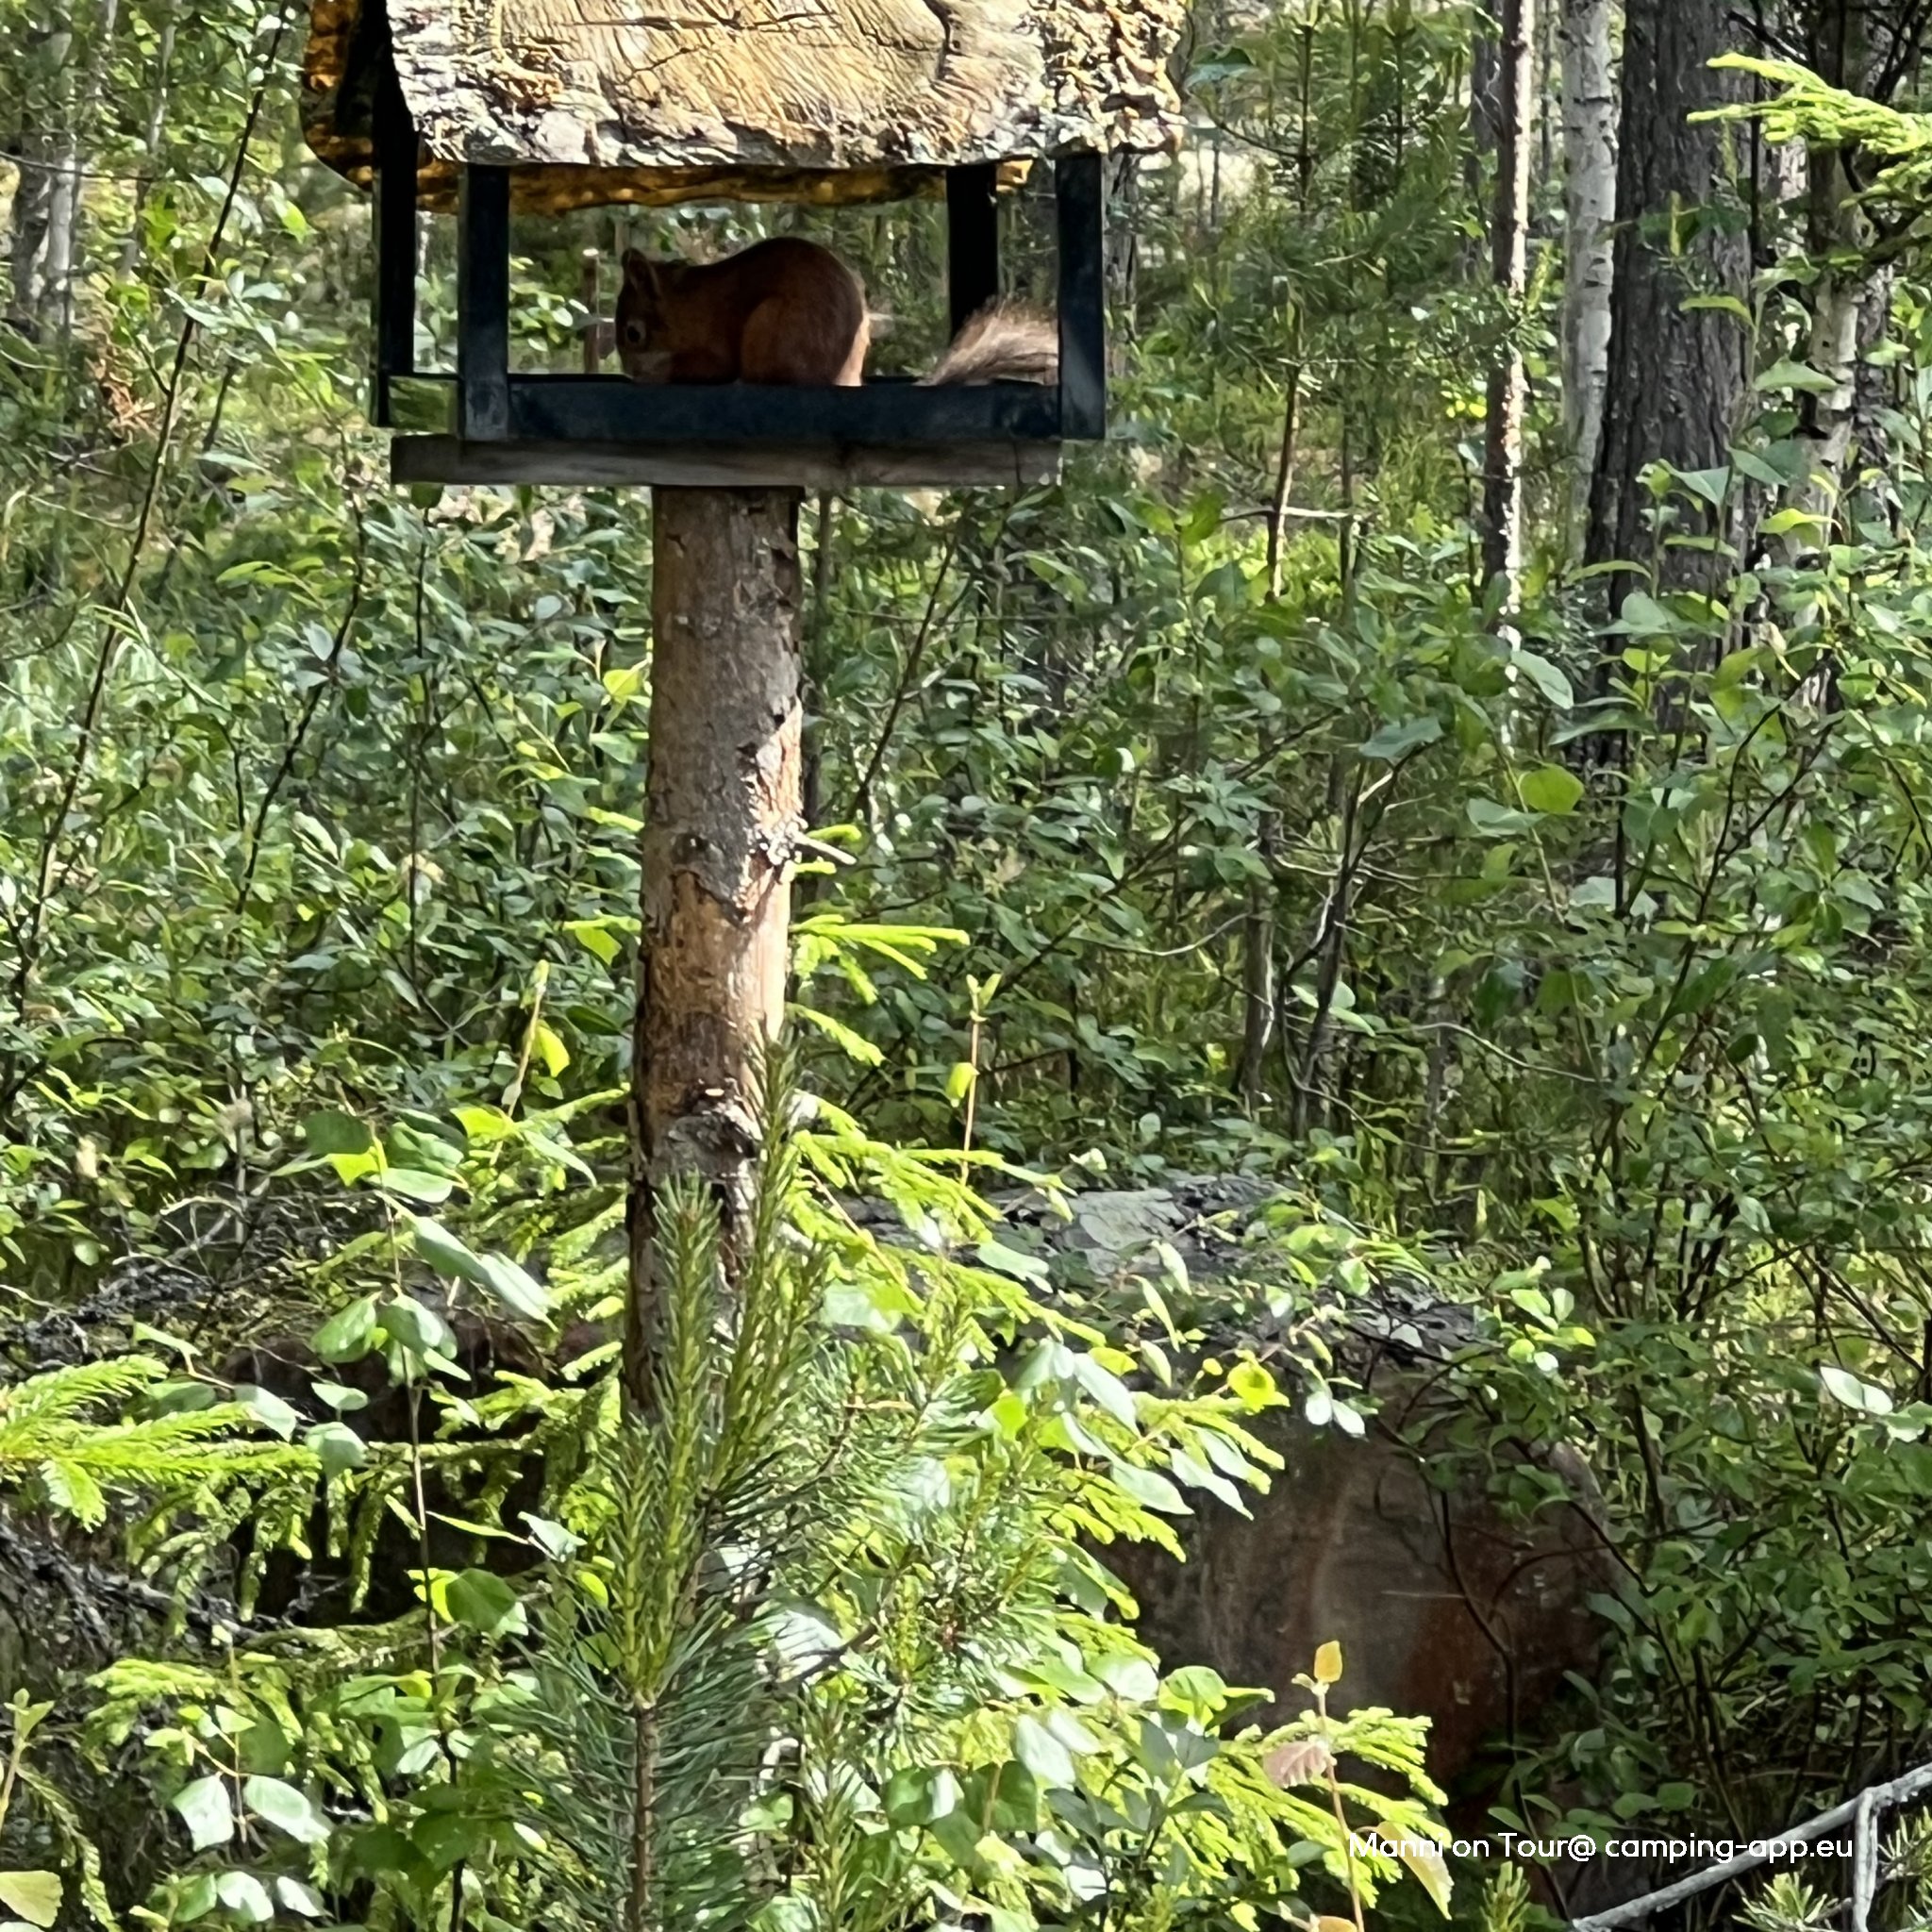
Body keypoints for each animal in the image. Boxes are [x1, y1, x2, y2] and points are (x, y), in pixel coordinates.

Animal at [614, 237, 1057, 388]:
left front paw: (653, 376)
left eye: (634, 333)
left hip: (768, 326)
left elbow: (708, 367)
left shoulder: (714, 343)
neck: (686, 306)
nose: (630, 370)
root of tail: (843, 380)